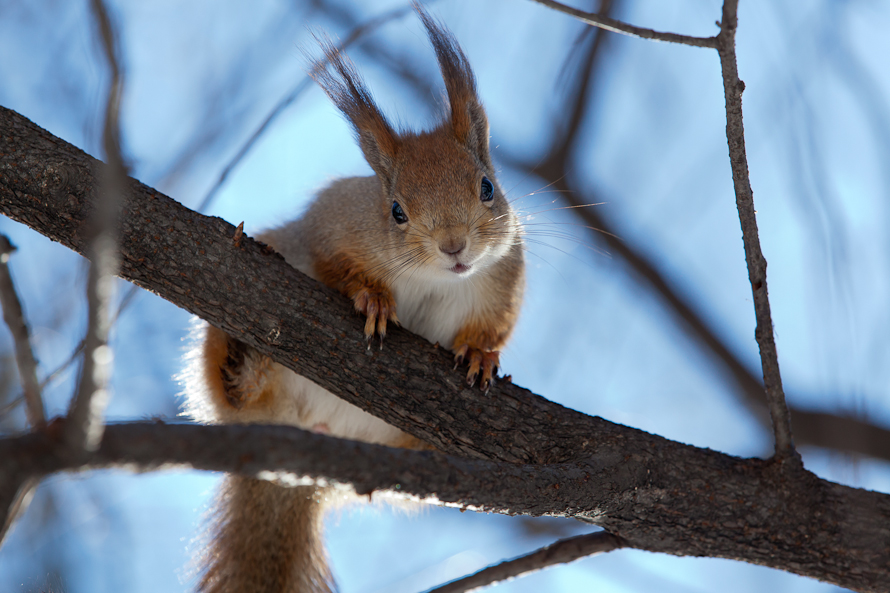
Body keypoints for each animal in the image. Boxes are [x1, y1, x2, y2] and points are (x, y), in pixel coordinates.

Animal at [183, 5, 524, 592]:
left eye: (487, 187)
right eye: (396, 211)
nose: (454, 246)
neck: (437, 279)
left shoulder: (503, 277)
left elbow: (494, 325)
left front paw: (482, 354)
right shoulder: (332, 225)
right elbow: (339, 266)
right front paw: (373, 300)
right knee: (234, 392)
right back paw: (244, 361)